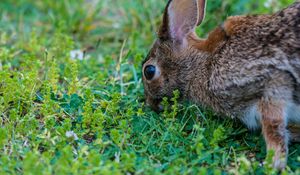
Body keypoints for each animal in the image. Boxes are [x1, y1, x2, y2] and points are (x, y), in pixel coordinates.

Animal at [141, 0, 300, 170]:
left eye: (149, 71)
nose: (150, 104)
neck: (203, 64)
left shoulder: (272, 83)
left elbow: (274, 130)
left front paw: (271, 164)